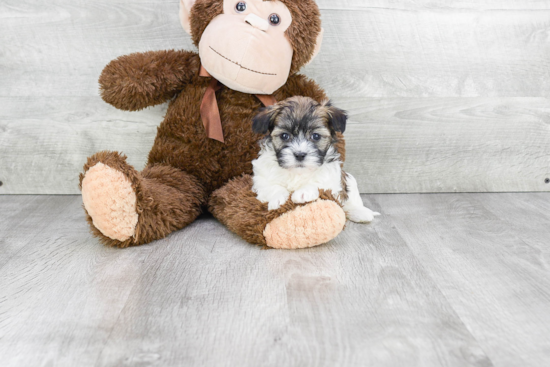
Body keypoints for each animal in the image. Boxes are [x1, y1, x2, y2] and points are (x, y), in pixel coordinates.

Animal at [252, 96, 382, 223]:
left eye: (316, 136)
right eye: (284, 136)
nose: (300, 155)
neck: (298, 172)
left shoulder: (332, 178)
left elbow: (320, 181)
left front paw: (304, 192)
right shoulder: (261, 177)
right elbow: (271, 186)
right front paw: (278, 198)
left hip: (350, 180)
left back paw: (360, 212)